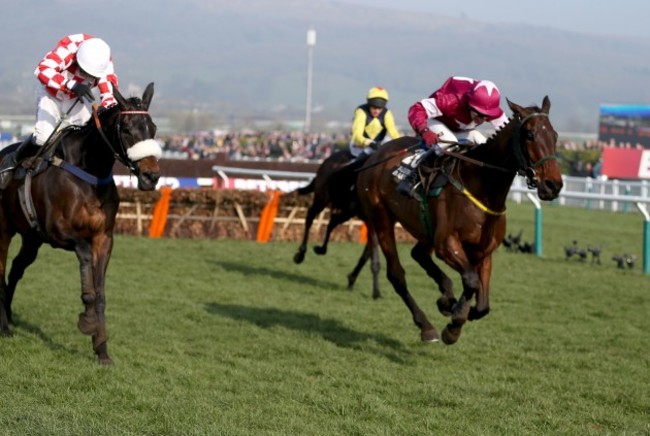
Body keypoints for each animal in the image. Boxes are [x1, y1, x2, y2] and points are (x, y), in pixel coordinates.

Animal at [0, 82, 161, 364]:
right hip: (3, 229)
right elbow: (85, 258)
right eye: (127, 129)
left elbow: (101, 293)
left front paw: (102, 349)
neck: (88, 173)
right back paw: (4, 327)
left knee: (16, 270)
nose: (151, 176)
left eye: (153, 128)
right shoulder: (58, 232)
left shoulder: (103, 238)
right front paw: (87, 318)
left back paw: (8, 316)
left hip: (32, 239)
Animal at [354, 97, 560, 346]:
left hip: (424, 229)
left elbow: (482, 305)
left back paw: (446, 296)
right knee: (396, 274)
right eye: (530, 135)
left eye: (555, 135)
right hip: (381, 218)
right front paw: (453, 325)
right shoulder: (447, 244)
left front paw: (453, 306)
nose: (553, 185)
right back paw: (426, 326)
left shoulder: (483, 252)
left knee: (419, 254)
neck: (482, 186)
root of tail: (375, 155)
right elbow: (471, 281)